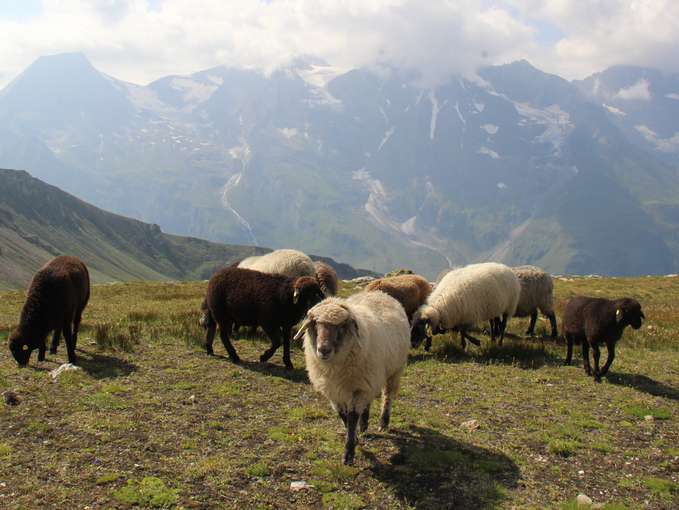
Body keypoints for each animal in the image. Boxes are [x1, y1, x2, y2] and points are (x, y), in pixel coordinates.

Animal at [296, 288, 412, 464]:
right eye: (315, 324)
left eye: (342, 326)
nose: (323, 350)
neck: (335, 366)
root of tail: (380, 292)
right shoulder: (334, 391)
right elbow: (343, 415)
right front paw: (356, 438)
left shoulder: (358, 389)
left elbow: (351, 418)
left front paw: (349, 453)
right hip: (369, 380)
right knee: (368, 402)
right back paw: (364, 426)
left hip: (394, 371)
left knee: (387, 396)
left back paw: (383, 422)